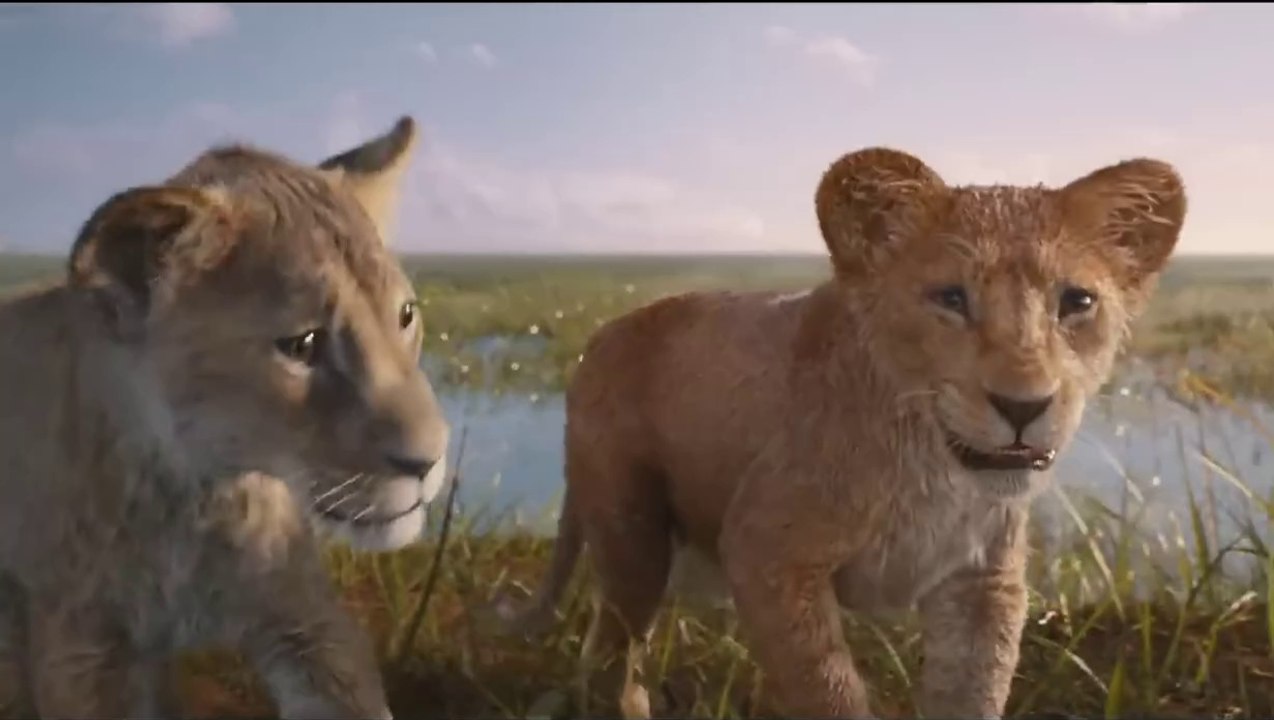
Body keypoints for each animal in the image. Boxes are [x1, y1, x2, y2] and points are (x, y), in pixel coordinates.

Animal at [0, 115, 451, 719]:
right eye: (303, 345)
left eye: (405, 315)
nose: (430, 461)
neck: (191, 499)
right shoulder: (79, 650)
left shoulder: (305, 618)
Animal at [503, 147, 1187, 718]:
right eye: (950, 298)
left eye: (1077, 302)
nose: (1024, 405)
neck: (934, 472)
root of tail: (599, 335)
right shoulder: (764, 548)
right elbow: (827, 690)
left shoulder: (984, 584)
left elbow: (973, 691)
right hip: (631, 536)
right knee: (611, 654)